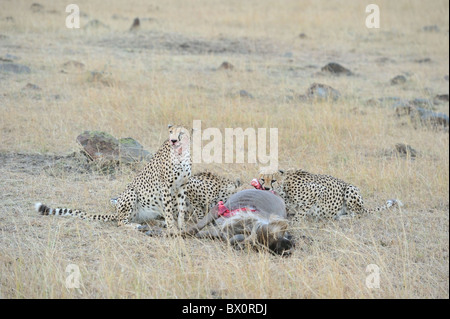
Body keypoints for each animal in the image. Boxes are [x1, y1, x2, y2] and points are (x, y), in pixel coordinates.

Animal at [35, 125, 190, 232]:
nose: (174, 139)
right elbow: (169, 210)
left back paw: (158, 223)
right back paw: (137, 226)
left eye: (181, 133)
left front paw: (181, 226)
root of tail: (116, 212)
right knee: (121, 222)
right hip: (131, 194)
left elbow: (181, 209)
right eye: (171, 132)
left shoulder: (182, 186)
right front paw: (173, 228)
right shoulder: (166, 185)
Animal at [255, 170, 402, 222]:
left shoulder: (318, 190)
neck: (284, 187)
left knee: (358, 214)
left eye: (273, 180)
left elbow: (301, 211)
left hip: (350, 189)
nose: (266, 188)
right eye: (263, 179)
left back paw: (342, 217)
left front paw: (296, 221)